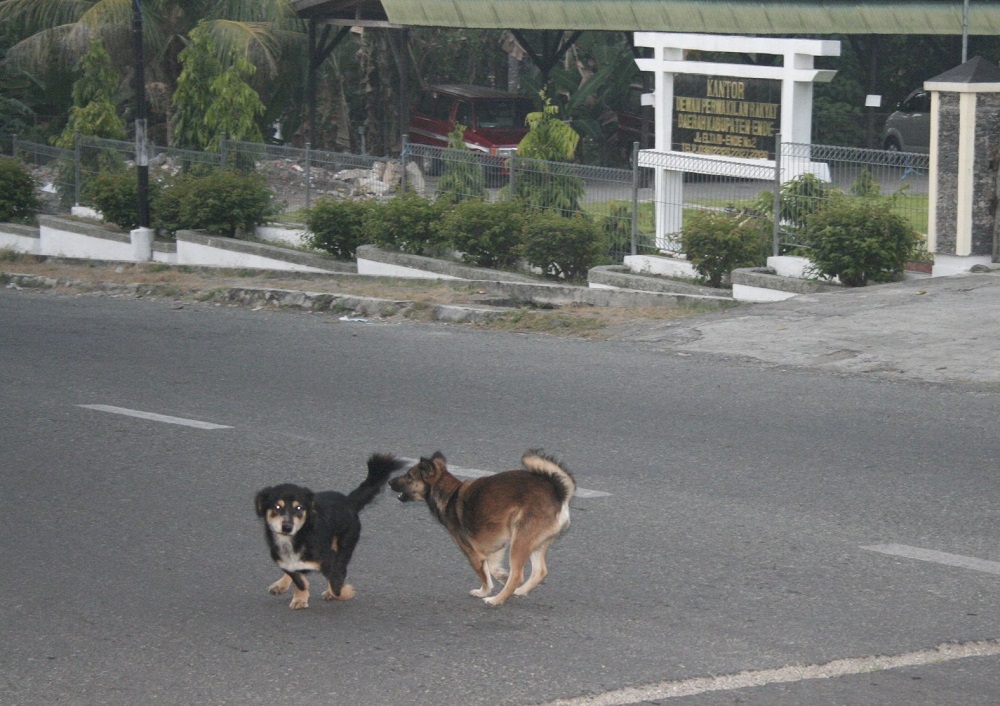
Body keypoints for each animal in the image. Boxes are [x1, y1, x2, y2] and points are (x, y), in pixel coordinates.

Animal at [256, 454, 404, 608]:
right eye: (277, 507)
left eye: (299, 508)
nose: (287, 527)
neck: (294, 540)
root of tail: (348, 501)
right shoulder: (286, 564)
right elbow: (299, 581)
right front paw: (300, 598)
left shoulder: (331, 561)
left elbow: (335, 586)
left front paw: (347, 592)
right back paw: (281, 584)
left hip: (344, 545)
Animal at [386, 448, 576, 604]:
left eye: (409, 476)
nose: (389, 482)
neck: (449, 495)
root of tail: (558, 493)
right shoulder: (496, 544)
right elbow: (492, 568)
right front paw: (501, 577)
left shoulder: (472, 553)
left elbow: (484, 575)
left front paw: (484, 591)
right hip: (533, 543)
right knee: (539, 571)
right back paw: (519, 591)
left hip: (520, 541)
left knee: (518, 575)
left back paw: (497, 600)